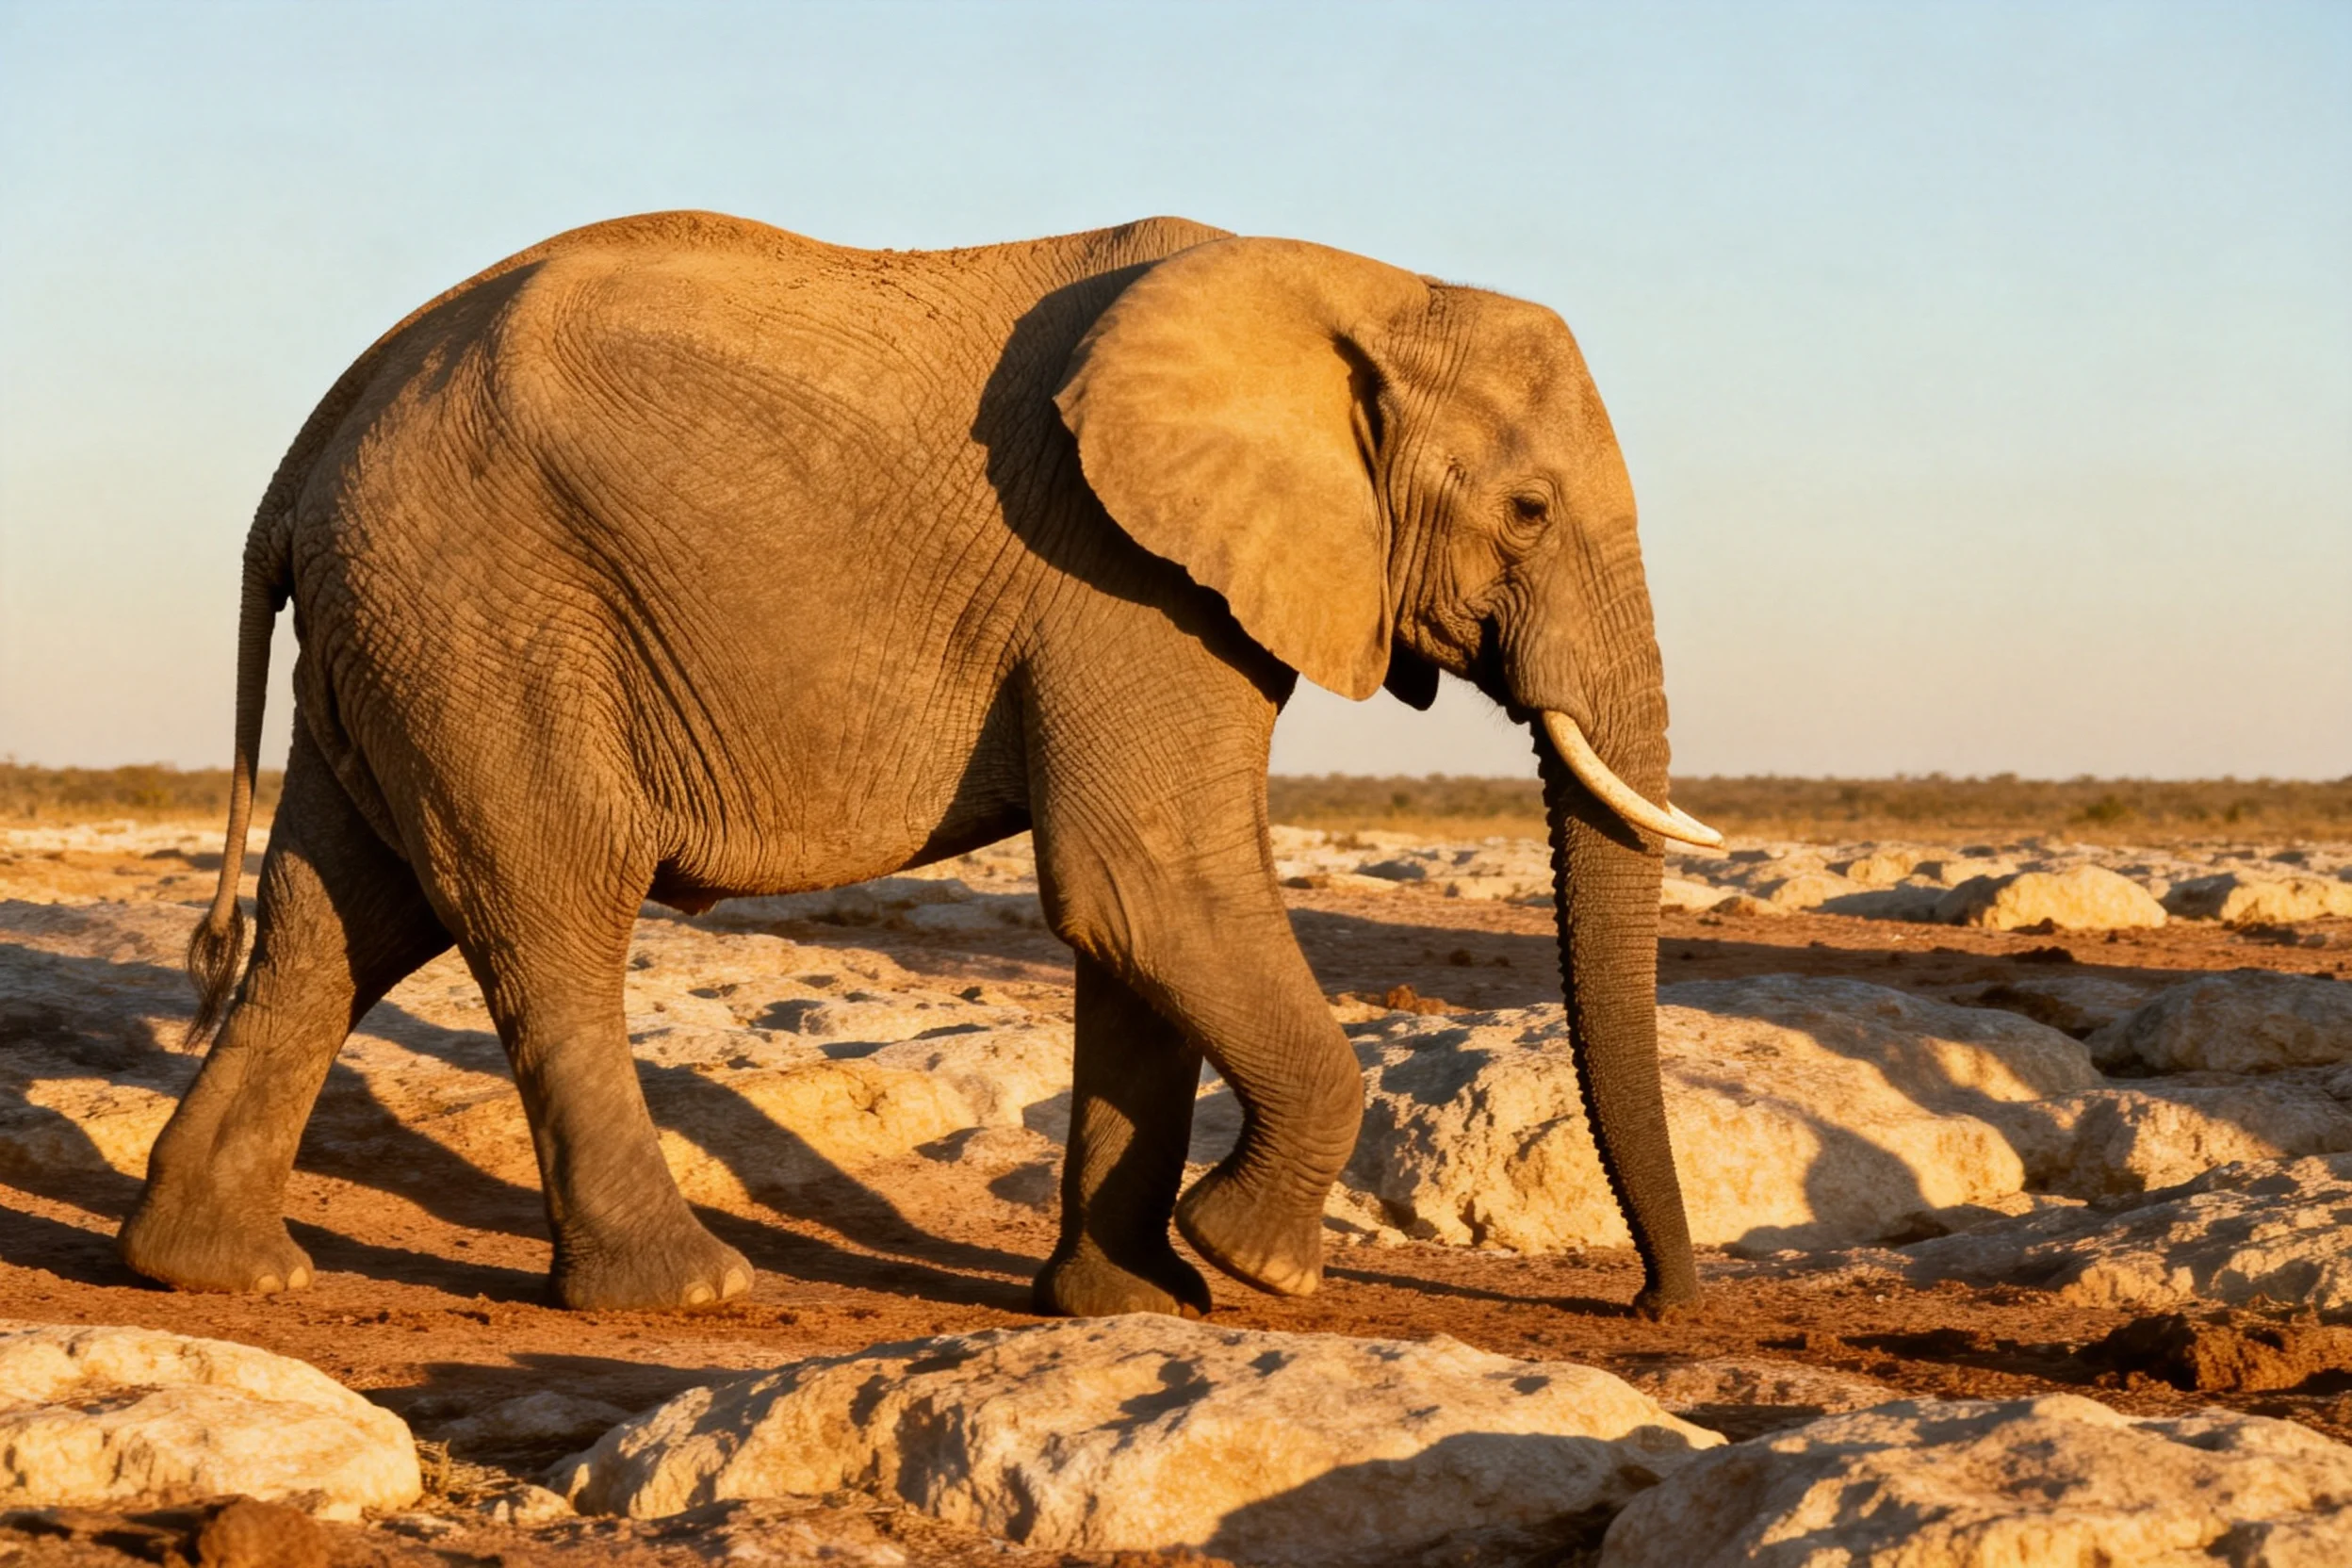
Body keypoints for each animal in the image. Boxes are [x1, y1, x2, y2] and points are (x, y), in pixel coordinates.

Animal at [119, 210, 1722, 1319]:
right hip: (486, 613)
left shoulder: (1155, 585)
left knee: (342, 916)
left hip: (401, 627)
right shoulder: (1117, 576)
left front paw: (1132, 1306)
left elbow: (1135, 930)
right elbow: (1147, 882)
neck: (1351, 287)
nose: (1654, 1304)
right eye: (1527, 510)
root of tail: (307, 449)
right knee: (548, 909)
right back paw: (688, 1291)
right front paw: (1253, 1268)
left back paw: (219, 1271)